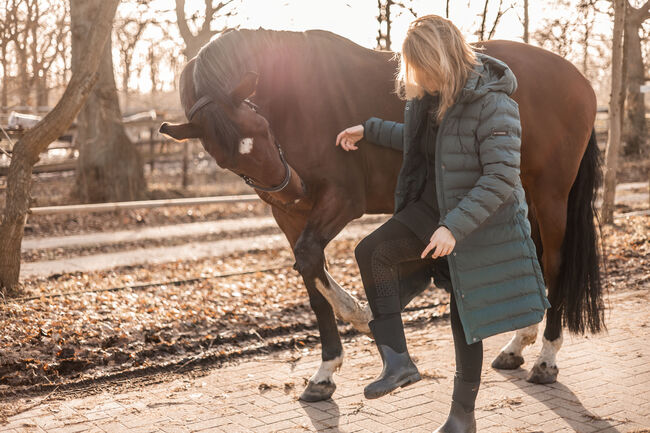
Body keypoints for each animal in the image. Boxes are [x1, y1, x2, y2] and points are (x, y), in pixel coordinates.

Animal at [158, 28, 604, 402]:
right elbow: (309, 274)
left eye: (262, 128)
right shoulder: (289, 218)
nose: (295, 191)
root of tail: (579, 78)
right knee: (533, 261)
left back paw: (546, 358)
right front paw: (324, 373)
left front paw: (359, 313)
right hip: (521, 191)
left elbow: (310, 258)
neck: (296, 99)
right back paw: (516, 346)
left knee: (554, 265)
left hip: (550, 195)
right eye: (228, 161)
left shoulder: (341, 200)